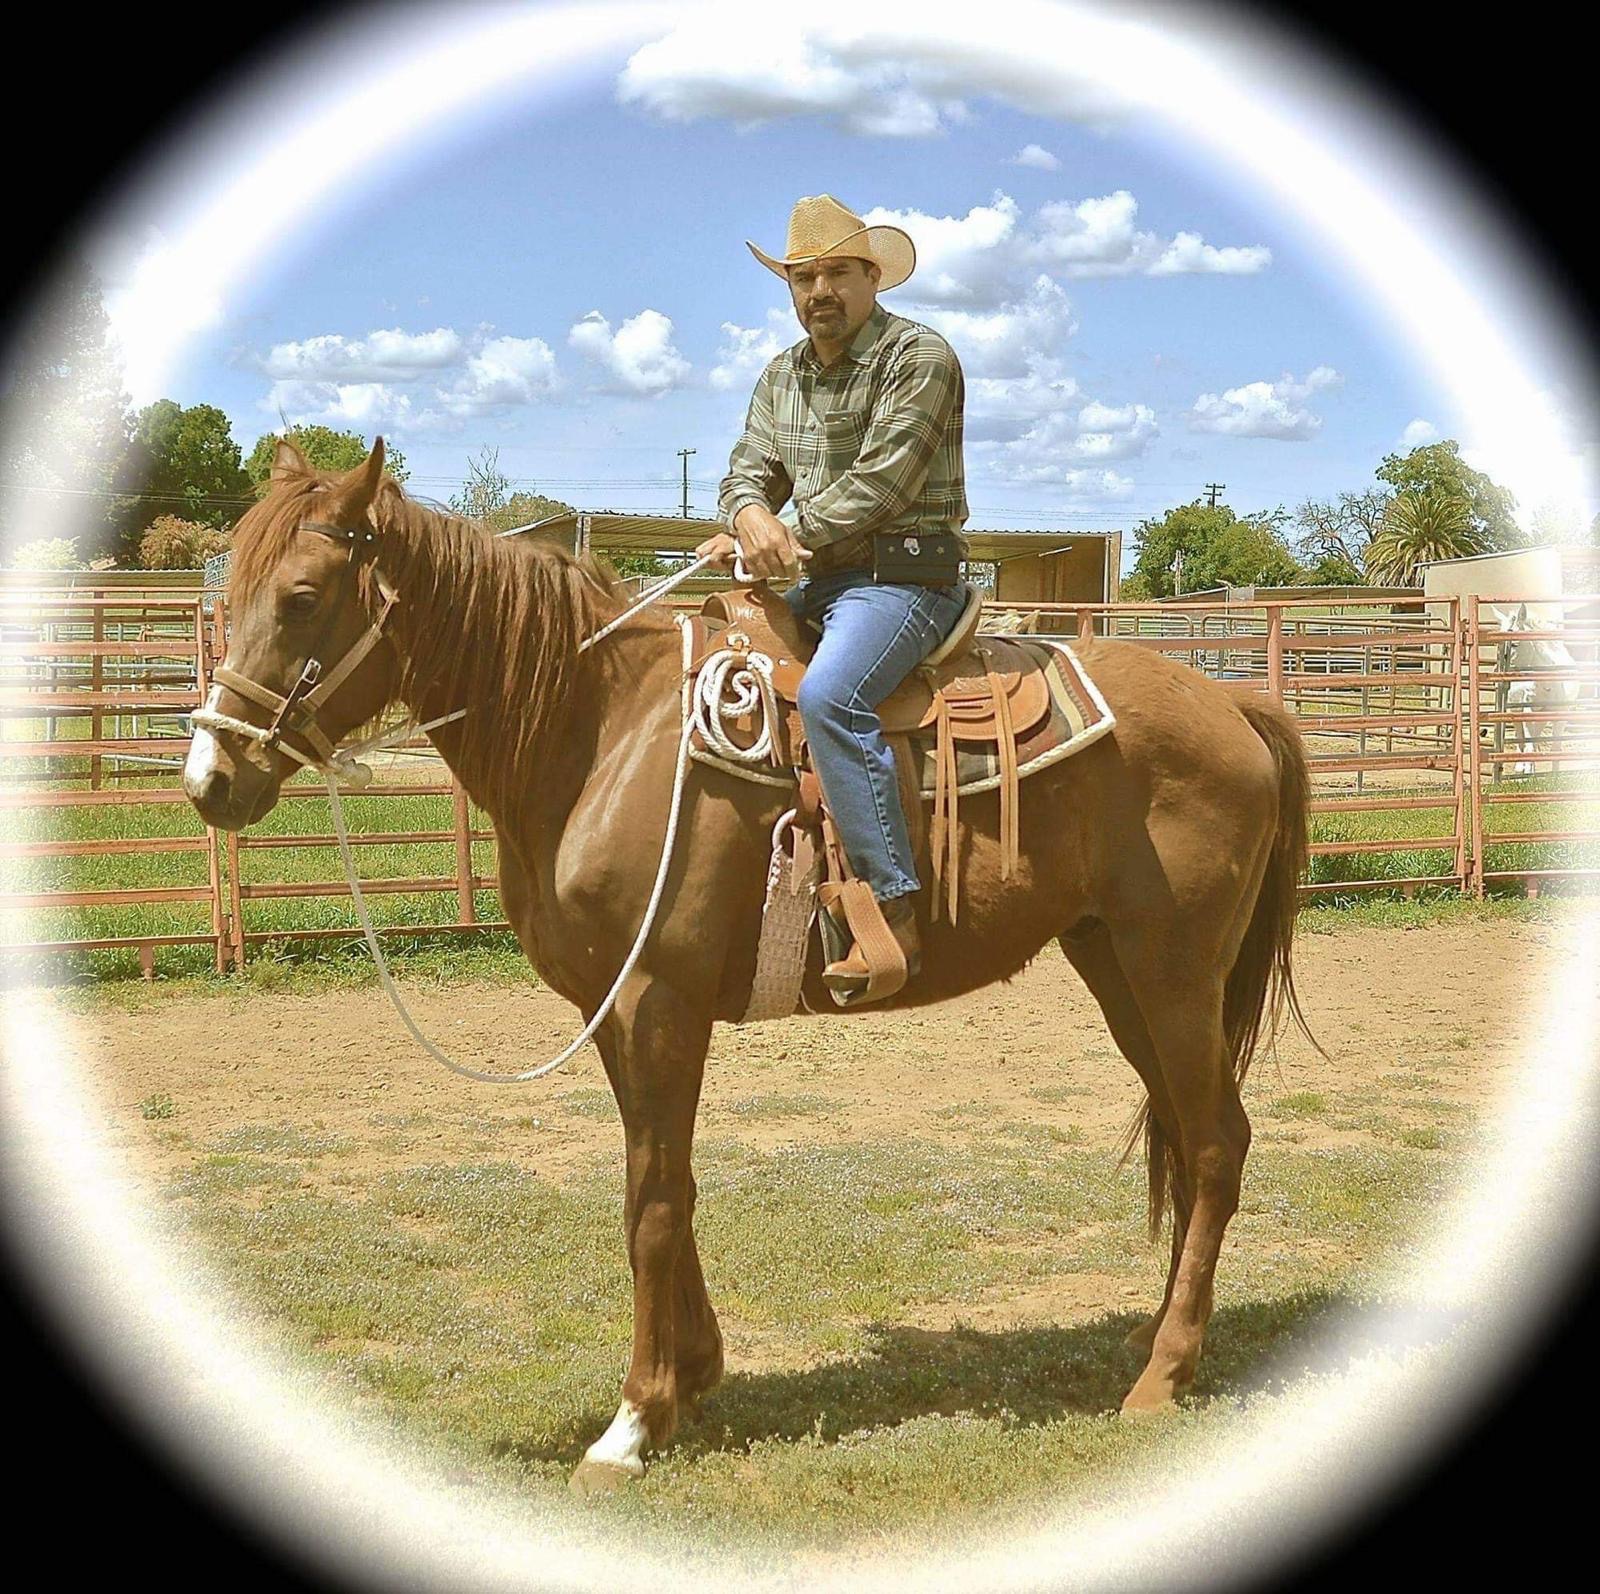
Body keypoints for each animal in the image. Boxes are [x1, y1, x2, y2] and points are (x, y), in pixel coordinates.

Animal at [184, 439, 1315, 1496]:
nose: (211, 779)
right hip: (1117, 966)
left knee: (1217, 1142)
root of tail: (1236, 709)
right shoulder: (618, 1010)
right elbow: (662, 1183)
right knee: (1189, 1136)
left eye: (301, 597)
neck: (598, 733)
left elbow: (650, 1203)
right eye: (229, 597)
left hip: (1172, 973)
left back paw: (1162, 1373)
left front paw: (633, 1422)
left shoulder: (659, 1003)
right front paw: (692, 1377)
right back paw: (1155, 1337)